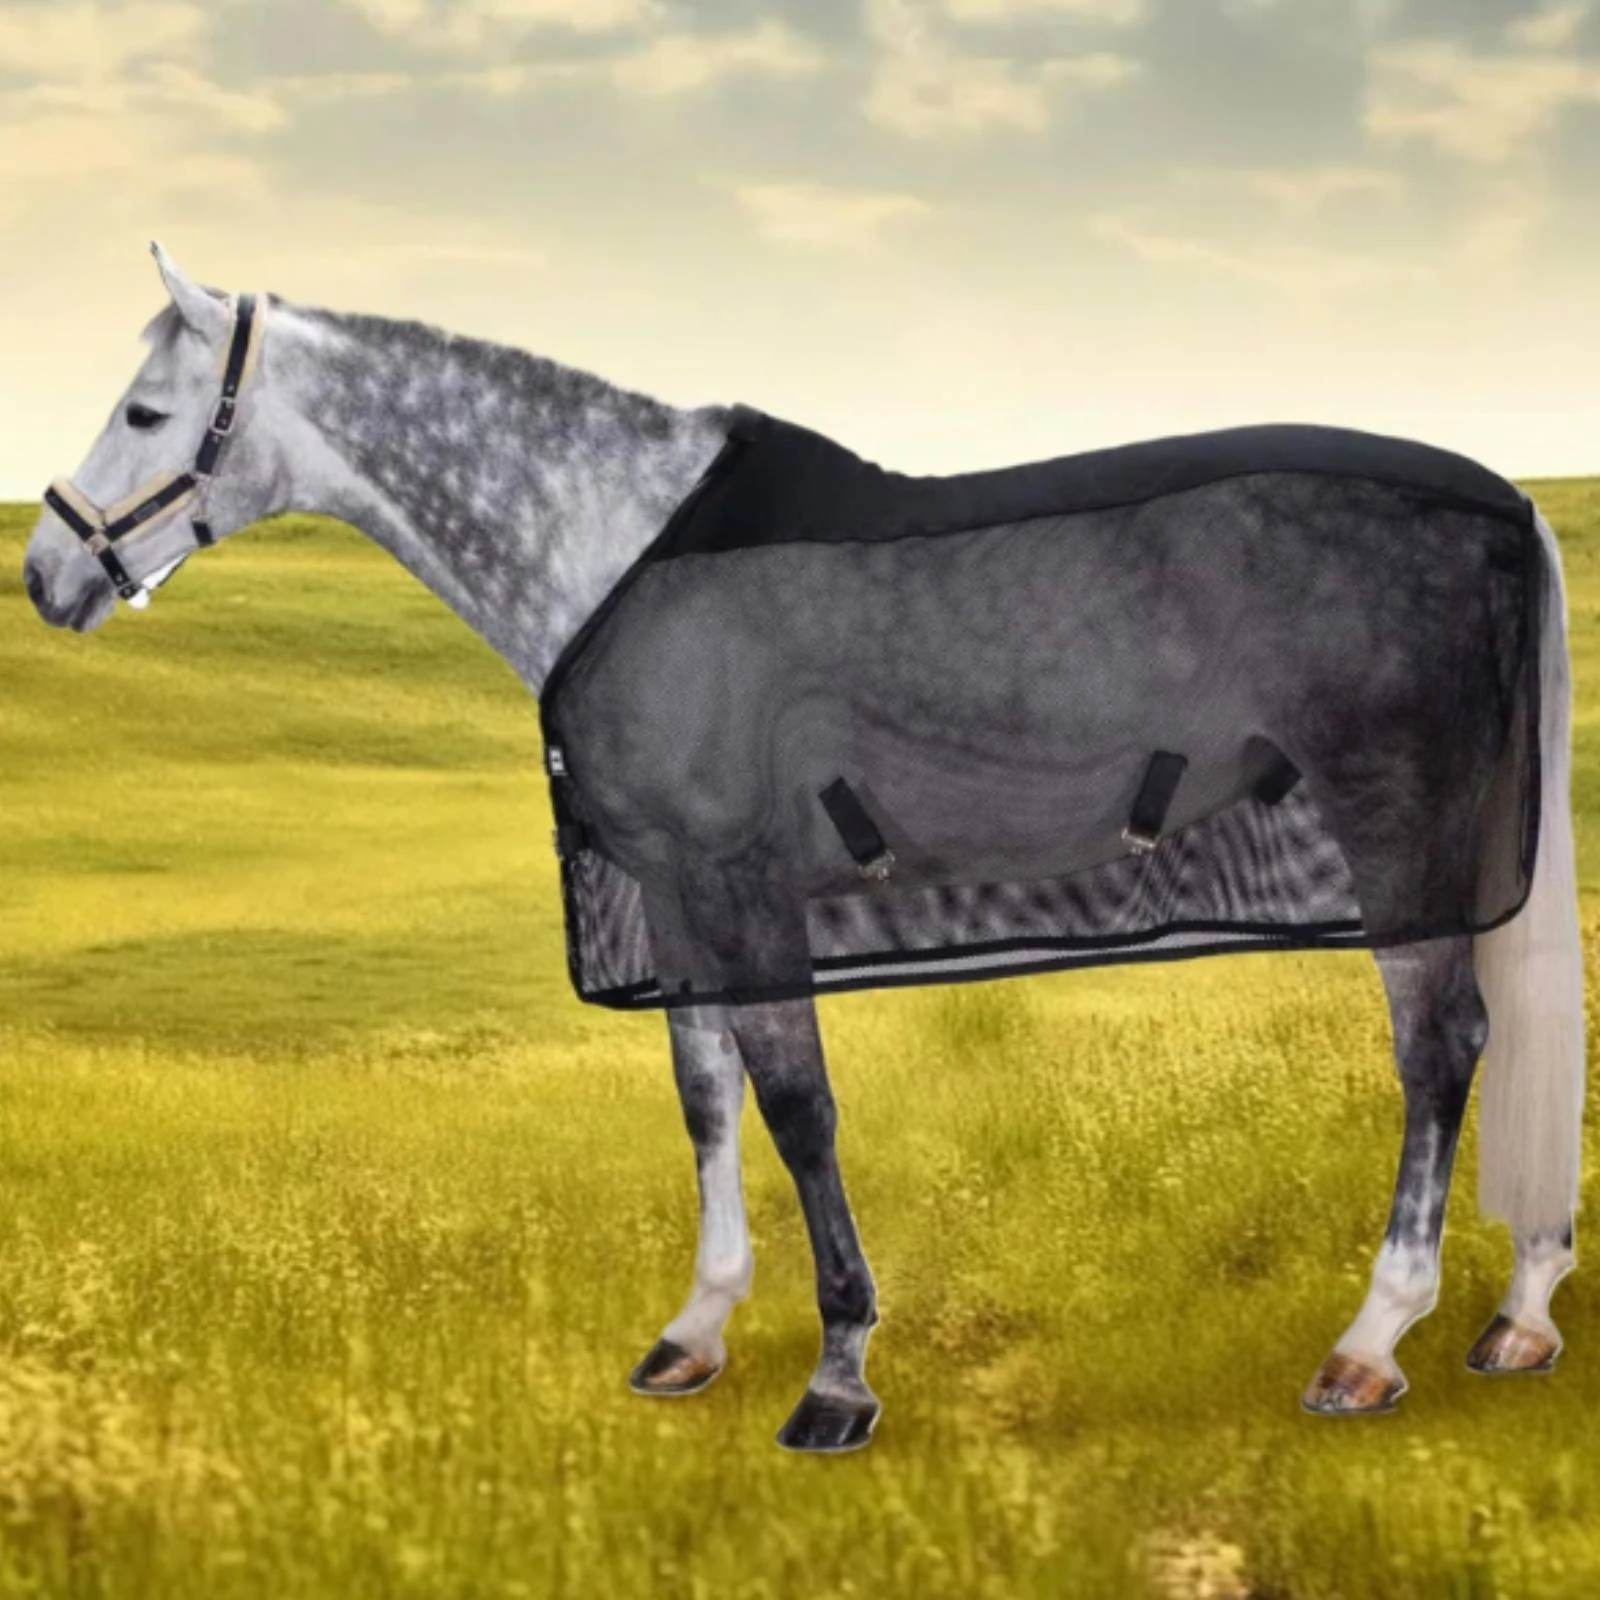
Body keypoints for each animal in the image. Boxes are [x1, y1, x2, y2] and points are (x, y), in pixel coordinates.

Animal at [23, 243, 1584, 1454]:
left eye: (148, 407)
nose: (45, 575)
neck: (616, 551)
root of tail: (1502, 502)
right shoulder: (676, 896)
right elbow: (706, 1099)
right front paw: (696, 1329)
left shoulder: (740, 884)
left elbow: (797, 1109)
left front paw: (838, 1377)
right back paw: (1515, 1317)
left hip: (1396, 820)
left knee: (1441, 1045)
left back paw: (1372, 1340)